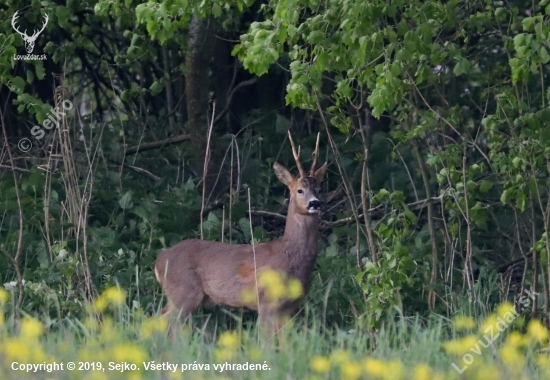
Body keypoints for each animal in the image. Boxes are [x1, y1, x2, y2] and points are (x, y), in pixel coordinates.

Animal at [155, 132, 328, 332]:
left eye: (319, 189)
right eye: (299, 190)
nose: (315, 203)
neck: (289, 255)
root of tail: (159, 260)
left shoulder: (288, 307)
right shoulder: (266, 302)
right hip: (184, 292)